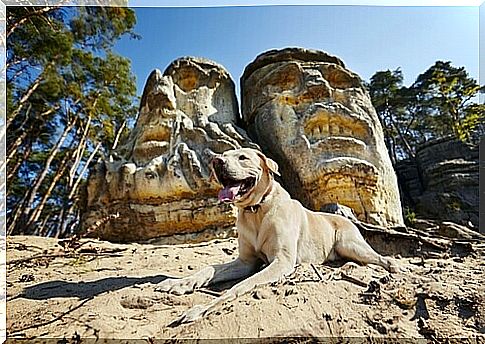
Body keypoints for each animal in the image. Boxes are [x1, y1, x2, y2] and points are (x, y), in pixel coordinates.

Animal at [157, 148, 398, 326]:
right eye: (223, 155)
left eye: (243, 157)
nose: (216, 161)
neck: (256, 209)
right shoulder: (245, 261)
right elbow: (208, 269)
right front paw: (178, 283)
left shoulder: (281, 261)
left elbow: (240, 286)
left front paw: (200, 309)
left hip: (350, 244)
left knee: (381, 258)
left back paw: (393, 267)